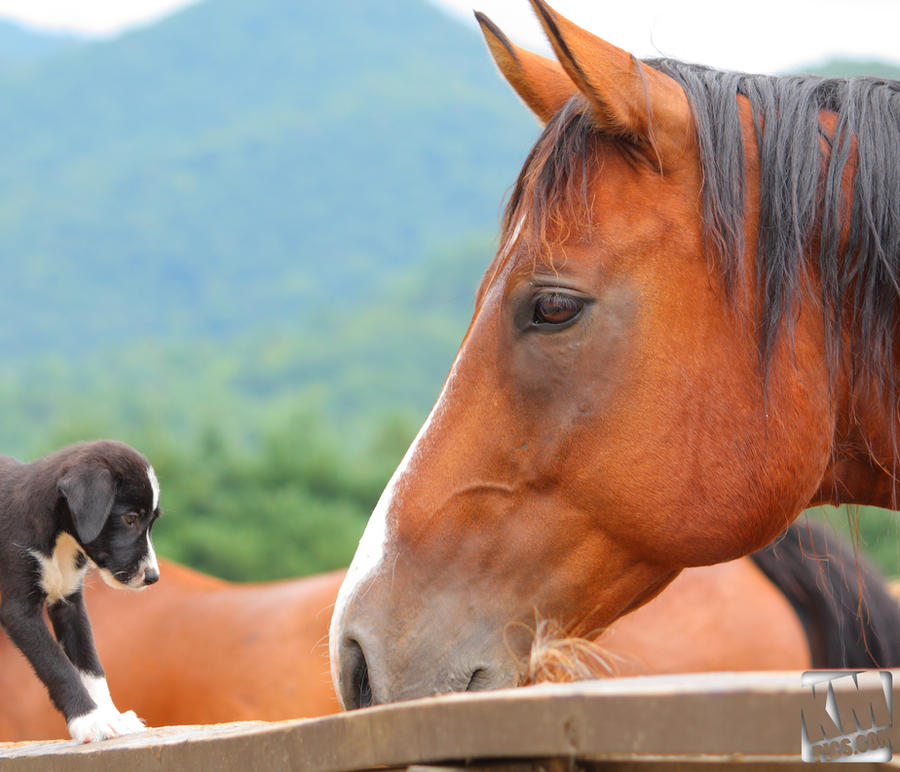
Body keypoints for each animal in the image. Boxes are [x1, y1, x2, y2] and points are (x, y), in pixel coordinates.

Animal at [0, 440, 160, 740]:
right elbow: (56, 664)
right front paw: (88, 719)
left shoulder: (69, 603)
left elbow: (91, 666)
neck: (60, 541)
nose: (153, 577)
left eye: (152, 522)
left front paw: (112, 717)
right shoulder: (19, 610)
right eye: (130, 518)